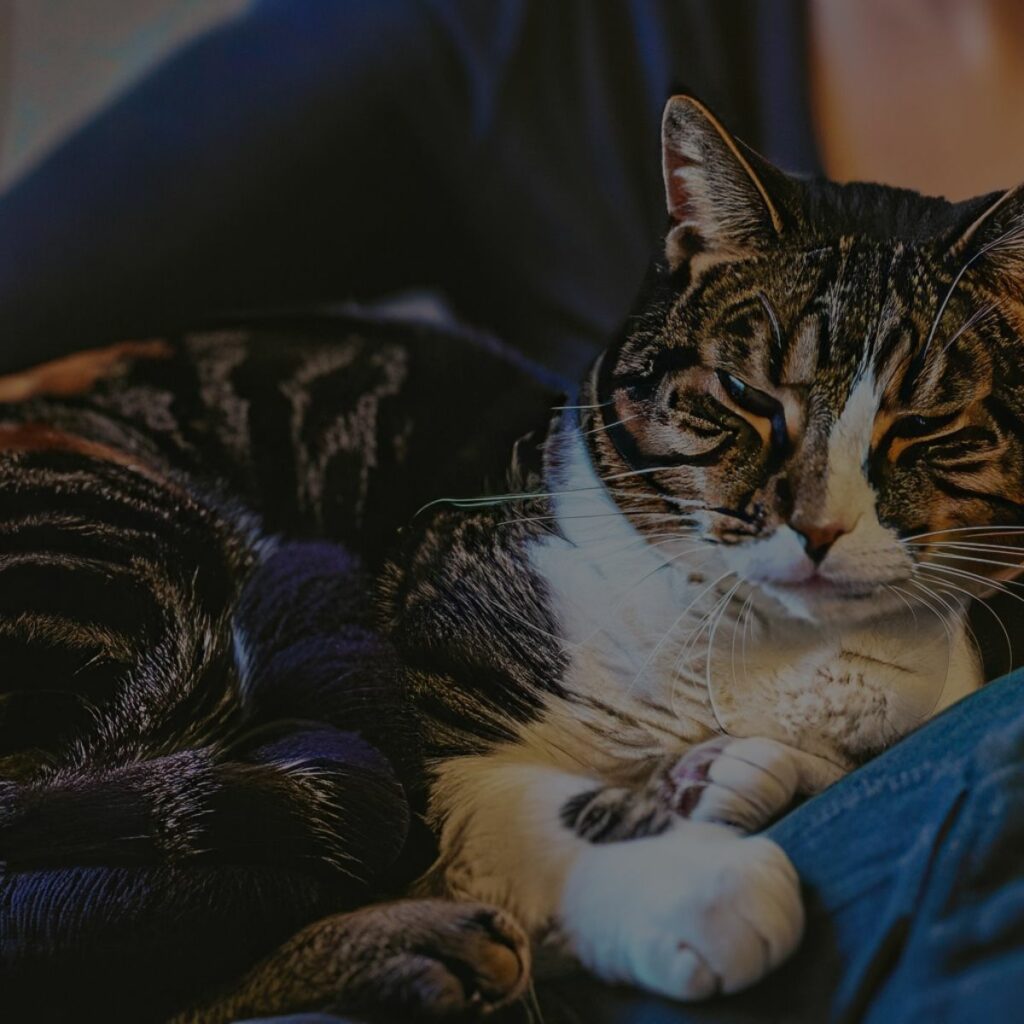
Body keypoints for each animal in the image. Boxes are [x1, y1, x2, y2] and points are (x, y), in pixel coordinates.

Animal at [2, 94, 1024, 1015]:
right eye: (744, 394)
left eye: (924, 424)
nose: (817, 527)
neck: (773, 655)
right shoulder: (424, 702)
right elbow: (533, 813)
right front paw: (696, 883)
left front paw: (710, 779)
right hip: (148, 551)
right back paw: (425, 950)